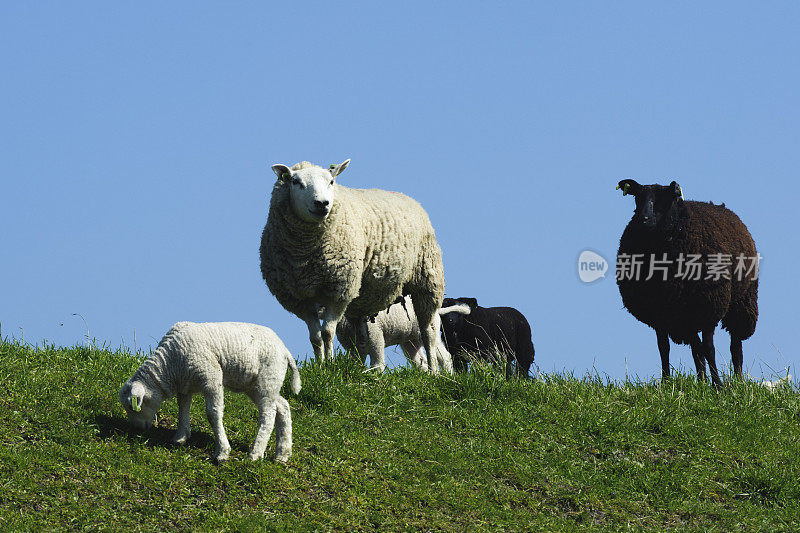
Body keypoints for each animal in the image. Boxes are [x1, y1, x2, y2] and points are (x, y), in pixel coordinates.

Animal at [119, 320, 304, 462]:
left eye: (132, 407)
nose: (136, 430)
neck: (170, 365)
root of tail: (285, 350)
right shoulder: (185, 384)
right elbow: (182, 408)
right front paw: (181, 437)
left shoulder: (211, 377)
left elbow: (213, 414)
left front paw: (222, 452)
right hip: (258, 385)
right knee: (282, 406)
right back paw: (282, 453)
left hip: (268, 379)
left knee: (268, 414)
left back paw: (255, 453)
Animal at [262, 160, 450, 372]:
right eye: (295, 182)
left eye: (331, 181)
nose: (322, 204)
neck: (306, 254)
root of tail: (407, 197)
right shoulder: (300, 299)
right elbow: (315, 337)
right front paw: (320, 365)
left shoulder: (339, 290)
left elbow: (327, 333)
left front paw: (329, 365)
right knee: (363, 338)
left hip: (428, 280)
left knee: (429, 332)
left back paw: (434, 372)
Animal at [334, 296, 466, 374]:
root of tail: (437, 311)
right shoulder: (353, 347)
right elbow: (356, 363)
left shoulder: (376, 336)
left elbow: (378, 363)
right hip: (410, 340)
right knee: (420, 360)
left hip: (431, 332)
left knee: (444, 356)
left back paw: (448, 376)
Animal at [616, 180, 760, 386]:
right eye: (637, 196)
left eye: (664, 198)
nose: (644, 219)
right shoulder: (659, 313)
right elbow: (664, 348)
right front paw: (666, 382)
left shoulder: (709, 307)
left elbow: (709, 348)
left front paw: (718, 385)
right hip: (687, 314)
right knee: (696, 348)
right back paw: (701, 380)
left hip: (741, 301)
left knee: (735, 345)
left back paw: (738, 380)